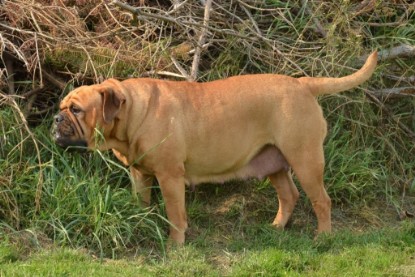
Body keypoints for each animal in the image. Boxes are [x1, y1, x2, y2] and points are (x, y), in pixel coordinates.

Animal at [53, 50, 378, 243]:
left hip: (306, 160)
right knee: (289, 195)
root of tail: (304, 84)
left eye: (77, 110)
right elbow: (142, 202)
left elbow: (175, 215)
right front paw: (143, 222)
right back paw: (276, 227)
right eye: (62, 107)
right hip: (275, 163)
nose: (56, 119)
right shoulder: (140, 174)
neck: (132, 110)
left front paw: (175, 246)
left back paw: (323, 237)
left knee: (321, 200)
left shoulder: (170, 177)